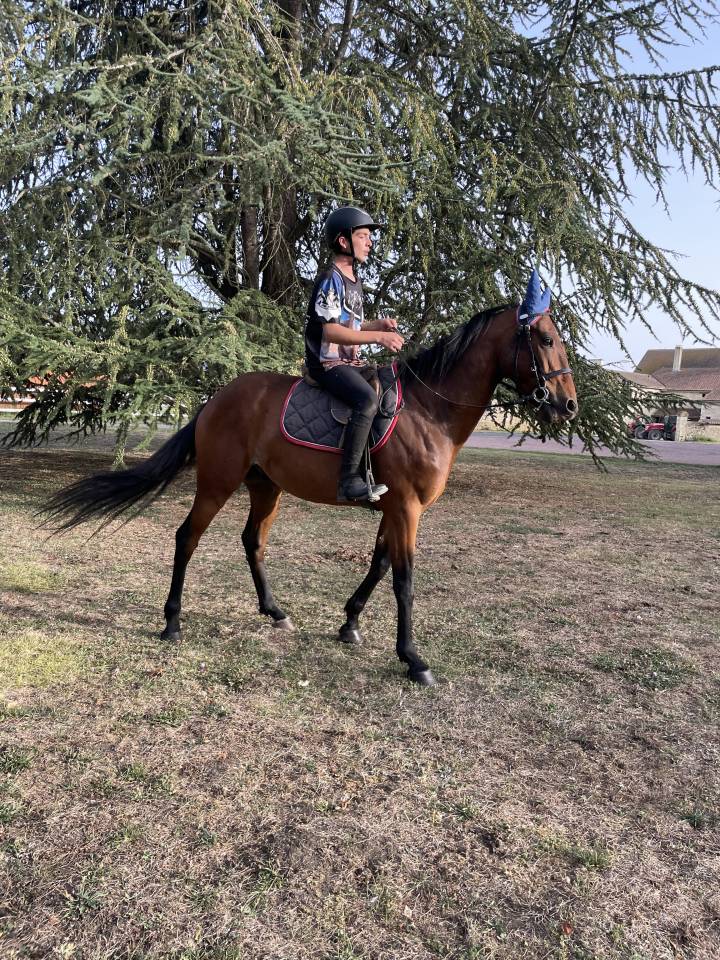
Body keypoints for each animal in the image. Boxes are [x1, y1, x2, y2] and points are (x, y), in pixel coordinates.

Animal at [43, 277, 578, 686]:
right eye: (546, 340)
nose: (569, 405)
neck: (430, 411)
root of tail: (217, 398)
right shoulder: (406, 508)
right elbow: (404, 580)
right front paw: (413, 659)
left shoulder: (393, 507)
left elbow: (379, 566)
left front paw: (350, 623)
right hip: (217, 484)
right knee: (186, 538)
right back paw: (172, 622)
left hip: (266, 487)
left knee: (251, 541)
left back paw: (273, 610)